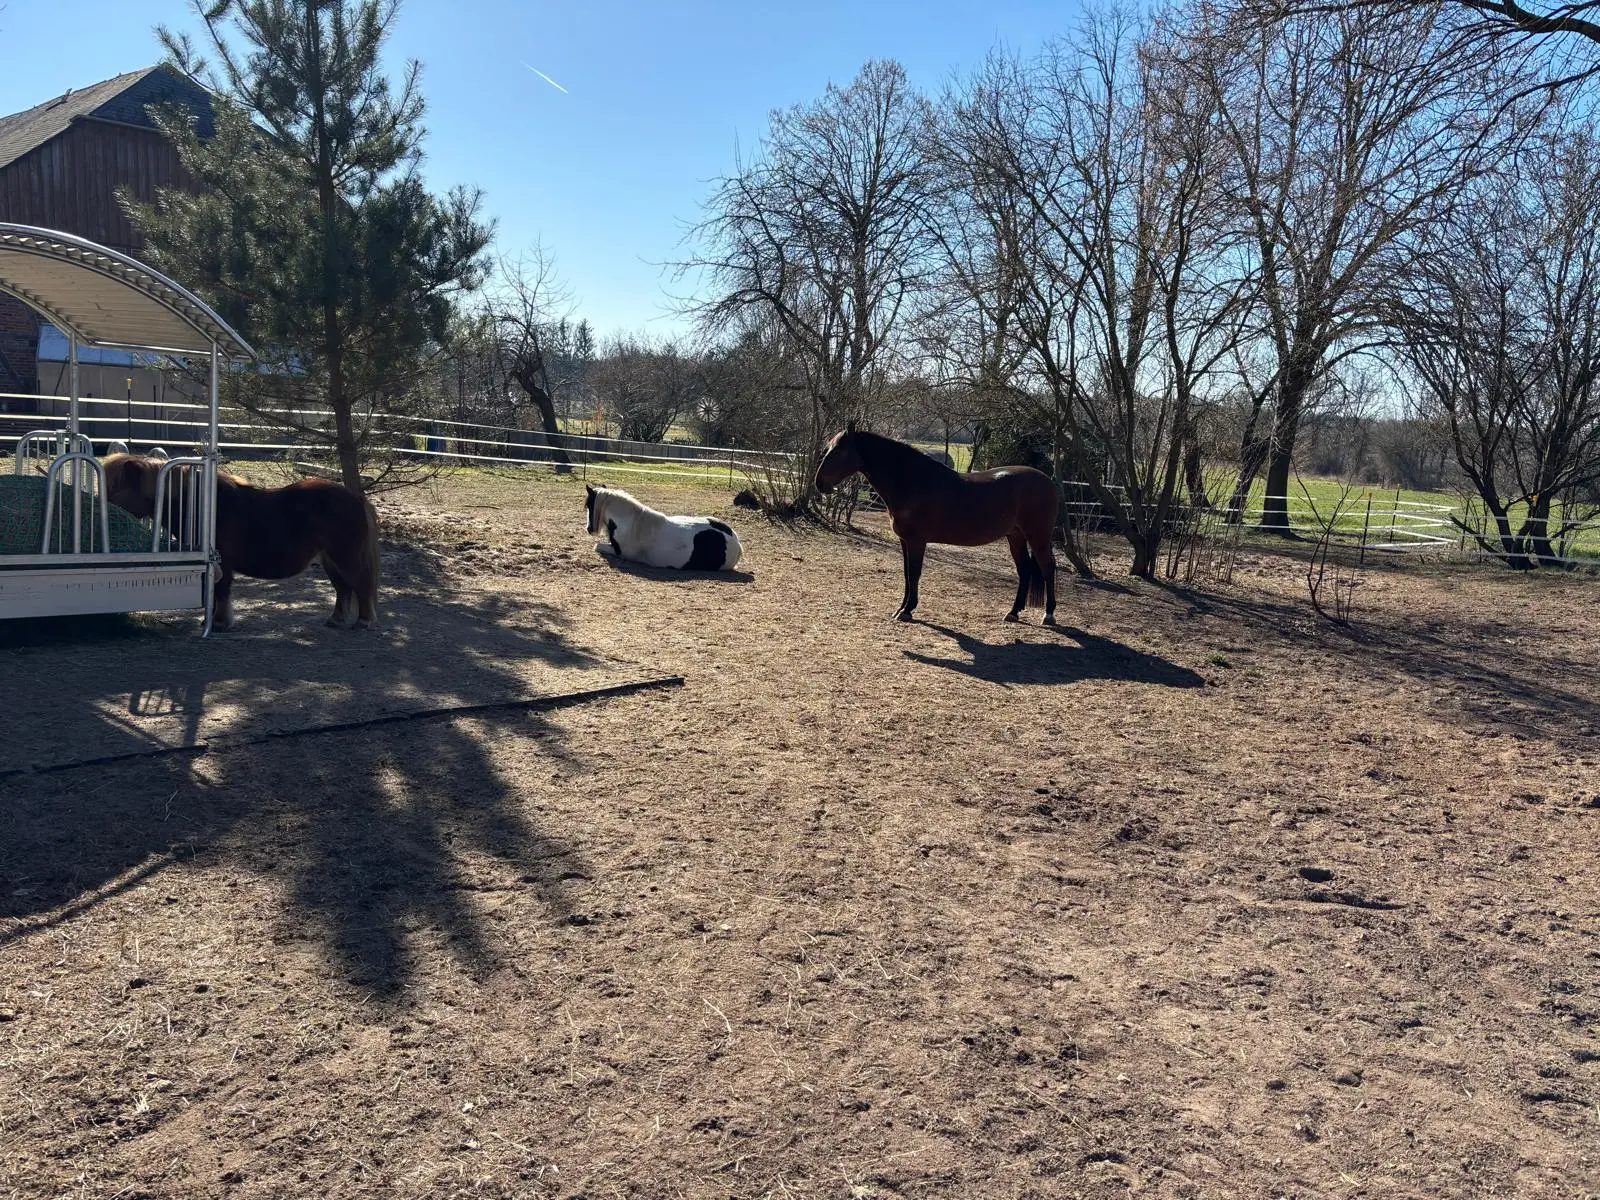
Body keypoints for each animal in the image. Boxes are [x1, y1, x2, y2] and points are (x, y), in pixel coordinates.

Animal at [102, 454, 380, 630]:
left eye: (115, 493)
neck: (206, 507)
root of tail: (356, 499)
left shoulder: (222, 562)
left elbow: (221, 592)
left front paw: (219, 623)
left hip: (346, 558)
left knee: (361, 585)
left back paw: (365, 622)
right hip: (330, 560)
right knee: (343, 589)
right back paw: (336, 620)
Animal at [585, 483, 743, 571]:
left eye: (588, 506)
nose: (588, 529)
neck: (633, 524)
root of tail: (736, 541)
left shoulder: (620, 552)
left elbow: (596, 546)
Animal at [814, 423, 1059, 624]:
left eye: (839, 451)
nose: (819, 483)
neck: (911, 481)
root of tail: (1048, 482)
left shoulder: (916, 541)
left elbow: (914, 573)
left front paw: (907, 611)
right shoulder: (905, 541)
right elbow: (907, 574)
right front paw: (900, 609)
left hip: (1038, 537)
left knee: (1048, 568)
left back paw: (1048, 615)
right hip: (1015, 536)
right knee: (1024, 570)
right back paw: (1013, 613)